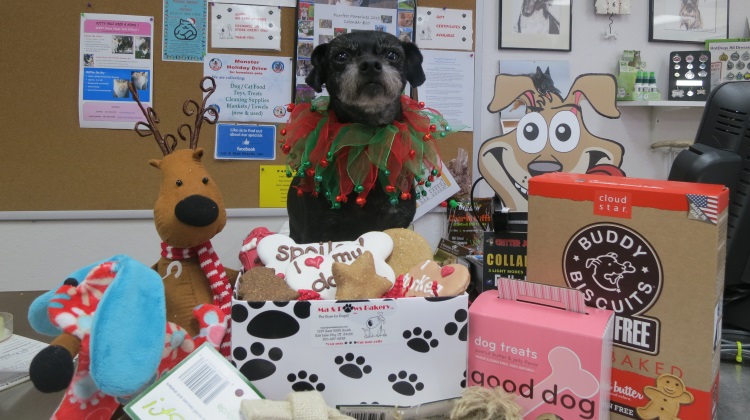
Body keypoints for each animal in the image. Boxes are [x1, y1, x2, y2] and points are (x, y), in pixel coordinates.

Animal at [288, 32, 428, 243]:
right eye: (341, 56)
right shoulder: (318, 229)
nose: (370, 64)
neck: (367, 138)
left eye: (392, 54)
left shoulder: (397, 222)